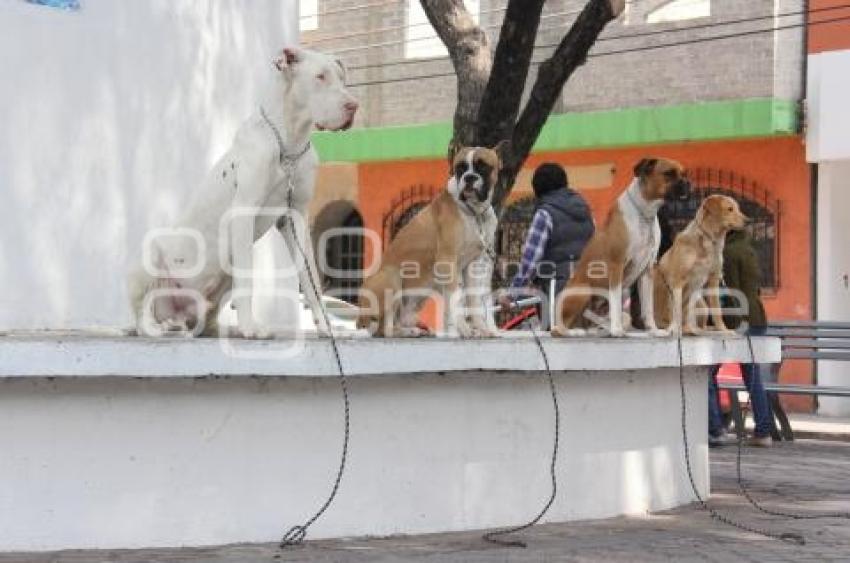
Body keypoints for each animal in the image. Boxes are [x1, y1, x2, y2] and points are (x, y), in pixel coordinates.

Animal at [128, 46, 358, 338]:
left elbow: (311, 281)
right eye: (320, 77)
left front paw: (327, 326)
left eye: (342, 78)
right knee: (142, 313)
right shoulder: (244, 213)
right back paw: (157, 327)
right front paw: (251, 327)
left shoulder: (296, 217)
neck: (289, 143)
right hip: (145, 261)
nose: (353, 106)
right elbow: (248, 281)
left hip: (222, 279)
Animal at [548, 156, 688, 338]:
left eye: (684, 174)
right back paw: (576, 332)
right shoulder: (617, 265)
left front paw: (653, 330)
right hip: (584, 290)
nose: (687, 183)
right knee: (559, 328)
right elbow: (614, 302)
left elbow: (648, 307)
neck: (645, 213)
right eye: (669, 173)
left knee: (591, 317)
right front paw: (616, 330)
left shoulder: (647, 270)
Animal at [652, 194, 744, 334]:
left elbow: (717, 310)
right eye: (730, 209)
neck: (710, 240)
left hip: (702, 305)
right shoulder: (677, 281)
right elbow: (676, 311)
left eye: (737, 208)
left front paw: (723, 329)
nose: (748, 220)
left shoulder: (714, 279)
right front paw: (675, 329)